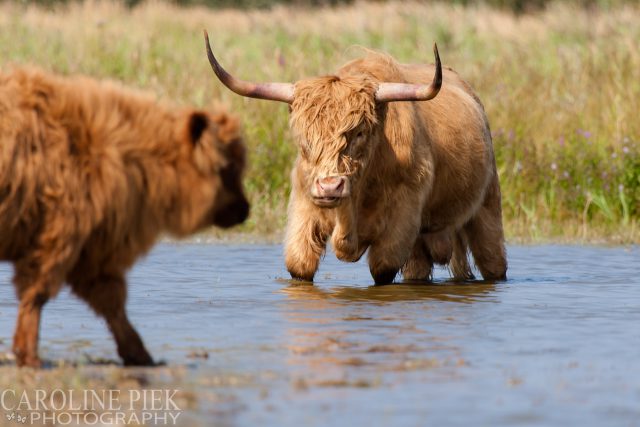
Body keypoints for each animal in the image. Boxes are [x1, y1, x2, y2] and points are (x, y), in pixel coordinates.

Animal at [0, 66, 249, 368]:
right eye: (228, 168)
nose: (245, 210)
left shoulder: (91, 248)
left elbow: (110, 302)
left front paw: (140, 355)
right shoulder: (61, 234)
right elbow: (38, 293)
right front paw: (29, 357)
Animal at [204, 31, 504, 286]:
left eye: (359, 133)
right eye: (303, 135)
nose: (330, 186)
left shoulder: (401, 221)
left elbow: (382, 270)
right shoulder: (304, 205)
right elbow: (299, 265)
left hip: (487, 210)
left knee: (493, 261)